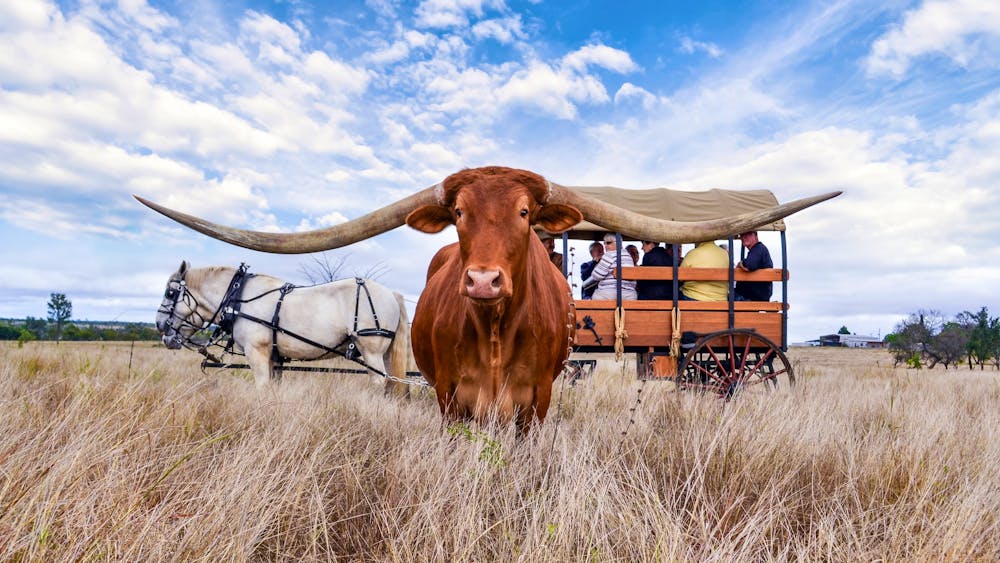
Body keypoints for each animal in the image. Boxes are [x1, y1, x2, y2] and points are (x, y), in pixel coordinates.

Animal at [155, 262, 410, 396]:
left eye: (170, 292)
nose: (159, 325)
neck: (238, 298)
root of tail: (392, 294)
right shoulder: (273, 356)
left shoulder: (256, 351)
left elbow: (262, 386)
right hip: (385, 353)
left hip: (371, 350)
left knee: (379, 382)